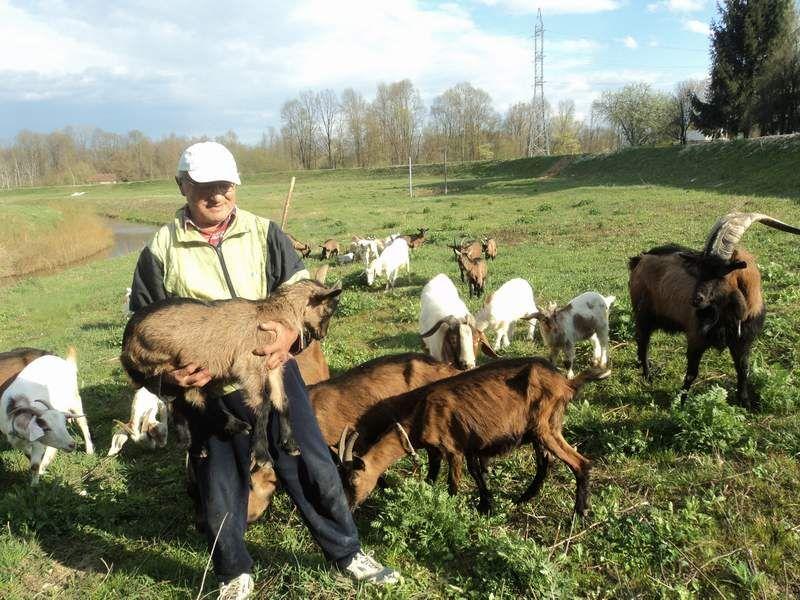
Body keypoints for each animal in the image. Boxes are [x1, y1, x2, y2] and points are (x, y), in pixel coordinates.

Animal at [0, 350, 94, 486]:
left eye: (63, 424)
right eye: (46, 428)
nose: (72, 445)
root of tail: (63, 361)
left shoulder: (38, 443)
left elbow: (34, 465)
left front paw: (34, 485)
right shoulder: (16, 441)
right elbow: (29, 455)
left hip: (75, 399)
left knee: (82, 423)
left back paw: (89, 450)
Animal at [121, 280, 340, 464]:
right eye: (328, 310)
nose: (322, 335)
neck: (271, 313)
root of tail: (126, 345)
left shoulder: (273, 364)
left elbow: (281, 400)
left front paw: (289, 443)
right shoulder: (249, 365)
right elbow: (263, 405)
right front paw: (261, 454)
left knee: (184, 402)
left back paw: (196, 443)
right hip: (170, 365)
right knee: (191, 400)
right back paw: (234, 427)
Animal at [336, 356, 608, 516]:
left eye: (353, 480)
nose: (349, 507)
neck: (421, 416)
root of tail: (566, 383)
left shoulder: (452, 448)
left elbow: (453, 483)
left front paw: (451, 508)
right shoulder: (469, 445)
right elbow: (475, 474)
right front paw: (485, 505)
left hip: (546, 427)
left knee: (580, 463)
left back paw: (579, 513)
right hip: (539, 431)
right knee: (544, 463)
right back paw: (523, 499)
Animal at [632, 210, 800, 408]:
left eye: (722, 273)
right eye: (699, 270)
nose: (696, 299)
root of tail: (640, 258)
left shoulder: (743, 341)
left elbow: (743, 369)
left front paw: (745, 402)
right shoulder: (696, 337)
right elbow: (691, 373)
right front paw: (681, 403)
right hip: (643, 314)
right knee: (643, 342)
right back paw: (648, 375)